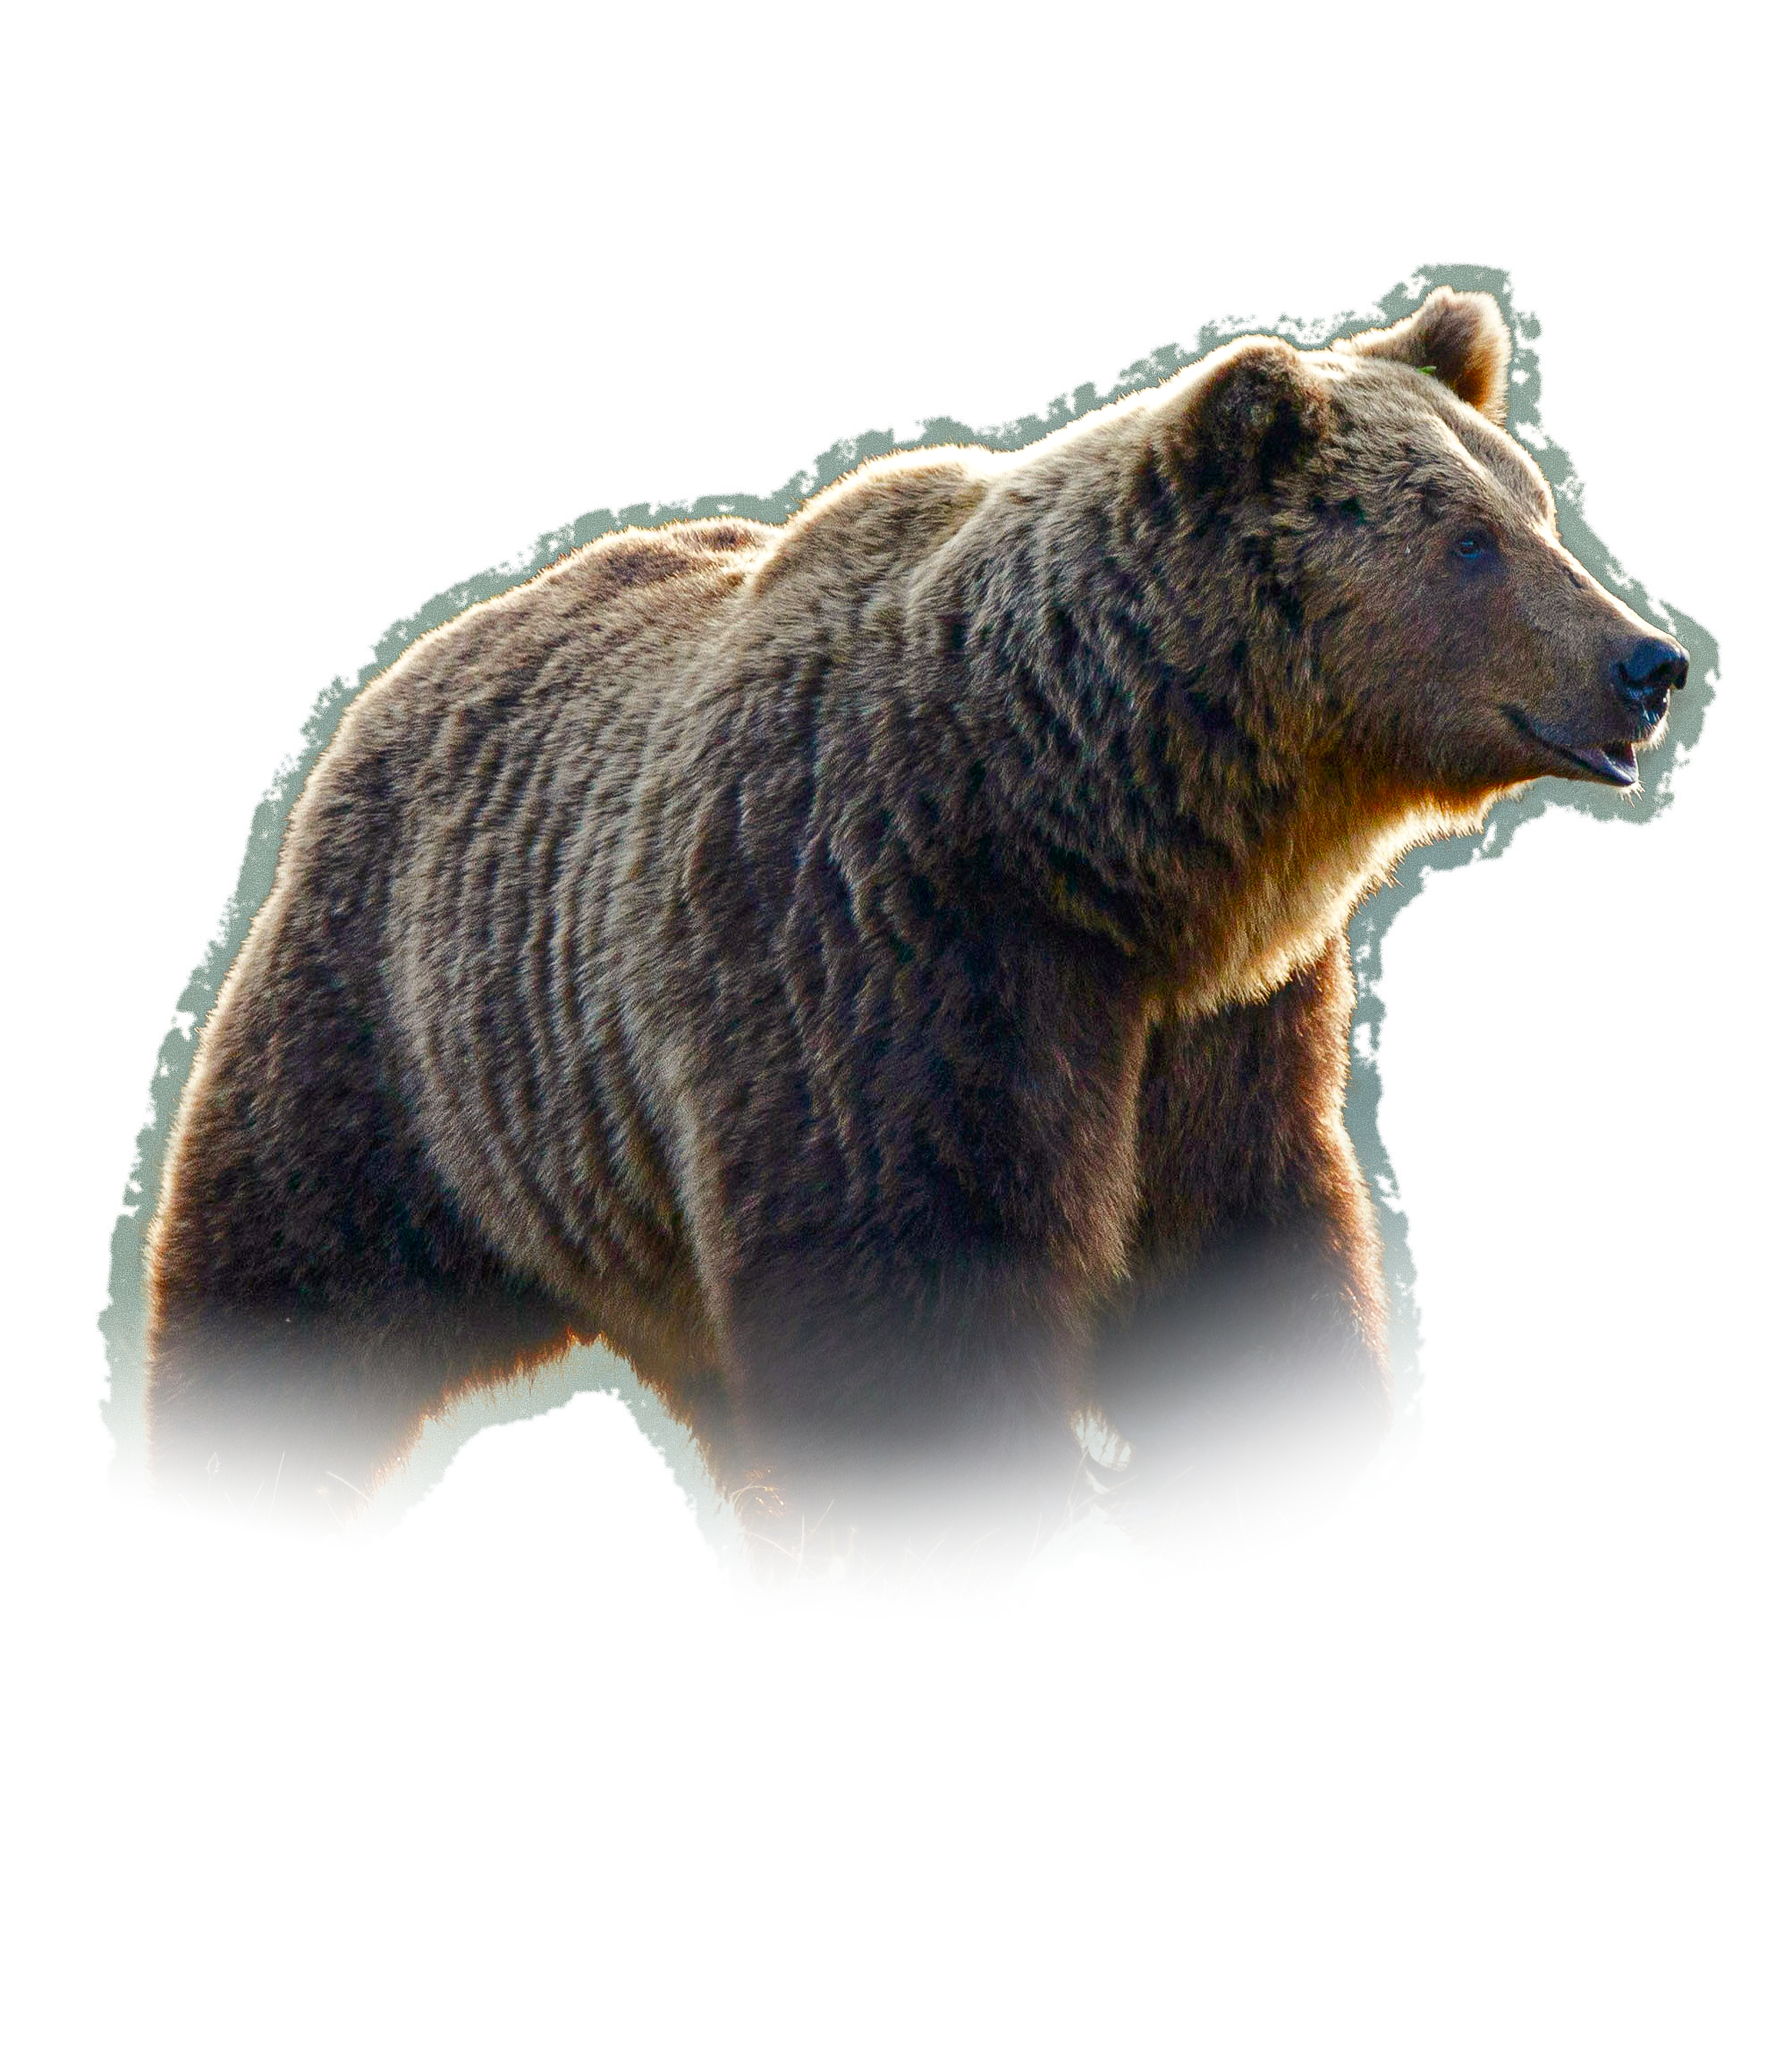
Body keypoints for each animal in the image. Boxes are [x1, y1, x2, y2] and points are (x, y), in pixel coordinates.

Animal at [143, 287, 1686, 1548]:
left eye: (1537, 509)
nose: (1650, 659)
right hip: (405, 1042)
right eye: (1472, 542)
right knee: (287, 1284)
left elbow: (1248, 1260)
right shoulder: (884, 957)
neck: (1103, 838)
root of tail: (419, 660)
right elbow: (908, 1300)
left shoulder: (1225, 1029)